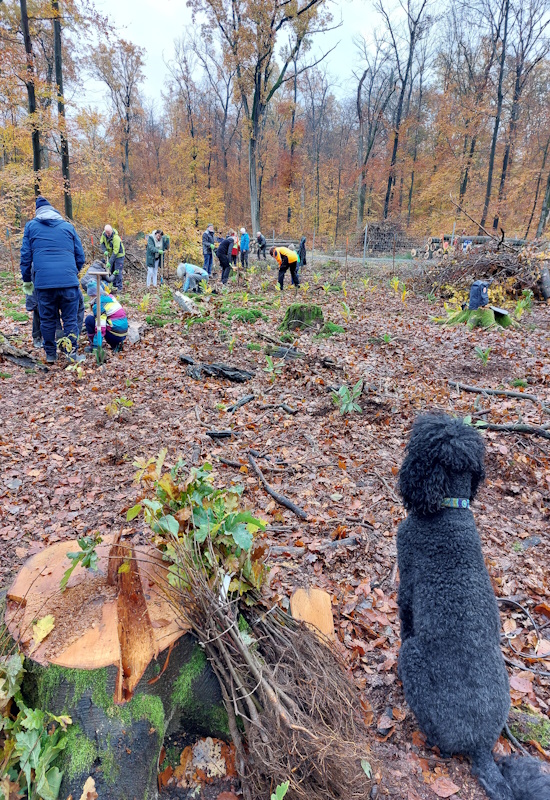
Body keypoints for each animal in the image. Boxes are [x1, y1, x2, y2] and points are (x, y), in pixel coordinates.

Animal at [396, 412, 550, 800]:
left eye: (421, 444)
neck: (449, 510)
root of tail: (481, 745)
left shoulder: (406, 583)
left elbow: (404, 620)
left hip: (413, 659)